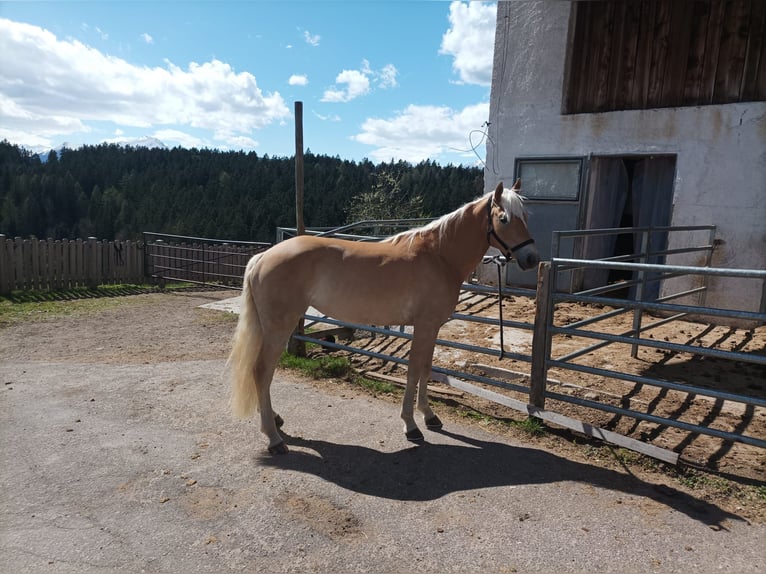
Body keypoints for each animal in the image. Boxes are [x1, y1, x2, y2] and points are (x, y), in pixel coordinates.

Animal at [228, 180, 540, 454]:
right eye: (504, 218)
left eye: (526, 216)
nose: (532, 259)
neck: (439, 256)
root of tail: (263, 257)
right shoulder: (424, 327)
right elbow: (413, 371)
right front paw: (411, 426)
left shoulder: (432, 328)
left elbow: (426, 369)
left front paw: (429, 416)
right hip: (278, 327)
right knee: (261, 371)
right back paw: (274, 439)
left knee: (263, 373)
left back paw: (275, 420)